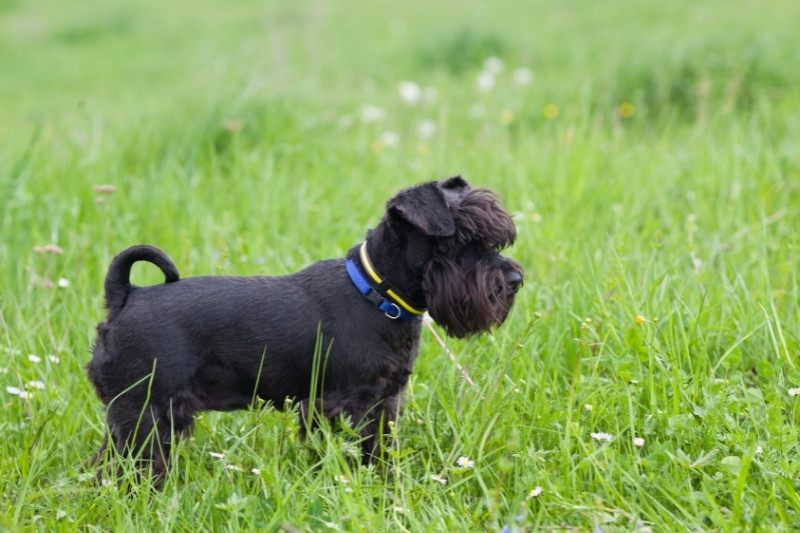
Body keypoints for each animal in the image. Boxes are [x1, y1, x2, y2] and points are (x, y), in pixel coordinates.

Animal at [87, 177, 520, 476]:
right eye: (459, 240)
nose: (514, 278)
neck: (375, 294)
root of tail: (127, 295)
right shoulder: (341, 404)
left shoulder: (384, 403)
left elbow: (378, 451)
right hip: (142, 413)